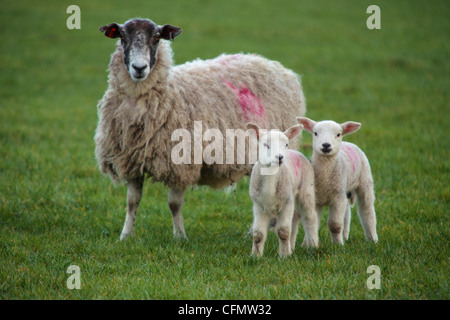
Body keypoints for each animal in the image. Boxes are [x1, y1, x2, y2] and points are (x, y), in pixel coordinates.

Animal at [94, 18, 306, 240]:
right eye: (122, 36)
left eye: (156, 37)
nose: (139, 68)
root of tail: (277, 66)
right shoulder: (132, 160)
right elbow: (132, 202)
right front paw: (126, 235)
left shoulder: (181, 162)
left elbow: (174, 204)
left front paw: (180, 236)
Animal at [246, 122, 316, 258]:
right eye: (265, 144)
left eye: (286, 144)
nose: (280, 157)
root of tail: (296, 151)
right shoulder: (259, 205)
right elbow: (258, 234)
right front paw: (255, 256)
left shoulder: (286, 202)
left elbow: (283, 232)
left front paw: (284, 256)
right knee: (294, 222)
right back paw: (291, 247)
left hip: (306, 190)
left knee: (310, 217)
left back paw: (313, 245)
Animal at [298, 117, 378, 245]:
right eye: (315, 133)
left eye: (338, 134)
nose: (326, 145)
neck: (325, 178)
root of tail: (348, 142)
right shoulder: (316, 199)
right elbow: (313, 221)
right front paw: (306, 243)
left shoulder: (337, 197)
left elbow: (334, 224)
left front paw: (337, 245)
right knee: (347, 213)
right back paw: (345, 236)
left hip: (365, 180)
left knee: (367, 210)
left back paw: (372, 239)